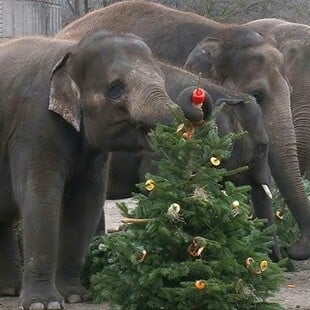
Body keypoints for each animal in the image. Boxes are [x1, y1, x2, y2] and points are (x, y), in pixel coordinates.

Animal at [0, 32, 201, 310]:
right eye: (115, 89)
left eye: (161, 79)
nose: (197, 94)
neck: (69, 52)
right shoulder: (34, 126)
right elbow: (41, 199)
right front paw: (44, 304)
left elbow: (86, 204)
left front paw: (75, 296)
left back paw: (9, 290)